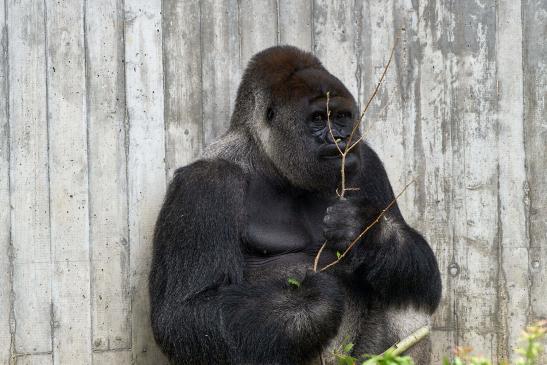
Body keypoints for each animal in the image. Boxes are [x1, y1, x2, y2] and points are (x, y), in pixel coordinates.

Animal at [152, 45, 444, 364]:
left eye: (342, 116)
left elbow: (425, 273)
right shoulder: (204, 183)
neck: (268, 160)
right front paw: (311, 299)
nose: (340, 137)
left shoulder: (368, 162)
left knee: (406, 292)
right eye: (317, 118)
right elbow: (185, 311)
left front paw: (366, 231)